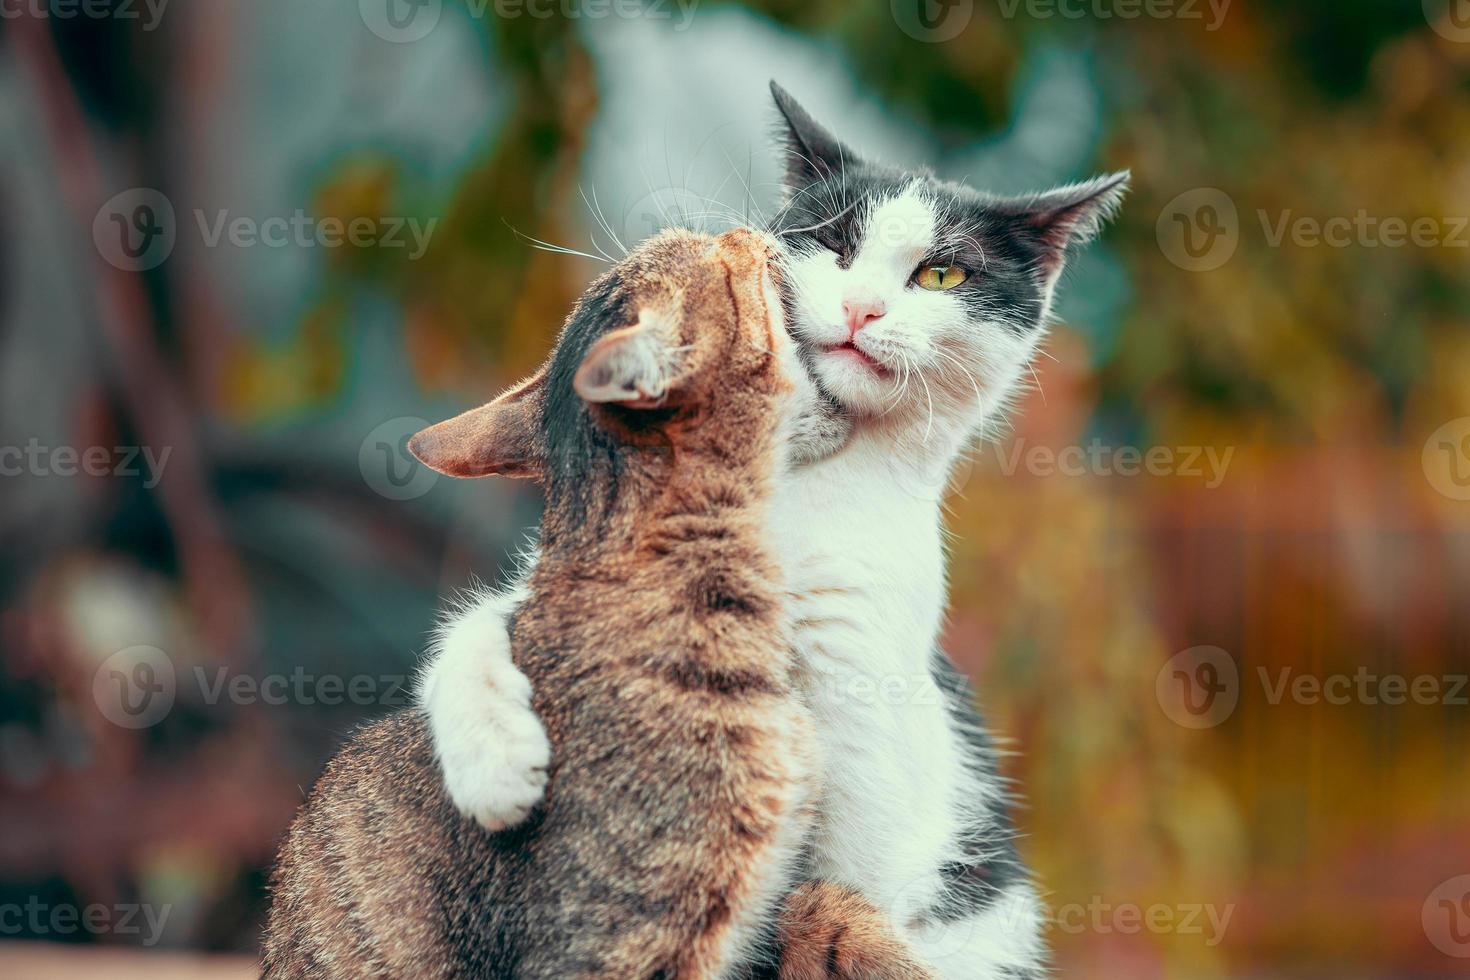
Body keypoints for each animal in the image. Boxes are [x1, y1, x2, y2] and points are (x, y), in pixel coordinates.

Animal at [420, 86, 1128, 980]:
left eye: (942, 273)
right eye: (834, 242)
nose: (862, 307)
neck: (794, 482)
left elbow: (833, 889)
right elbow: (489, 621)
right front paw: (495, 765)